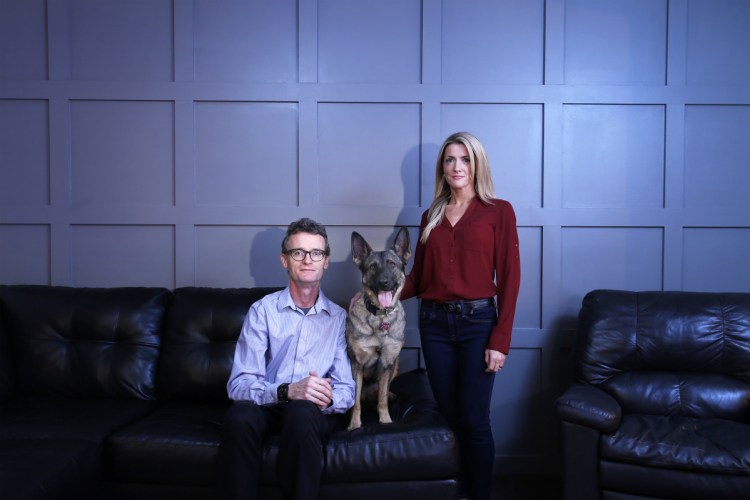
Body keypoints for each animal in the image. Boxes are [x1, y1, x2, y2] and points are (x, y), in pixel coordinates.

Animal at [346, 227, 412, 430]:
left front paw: (386, 420)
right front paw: (355, 425)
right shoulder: (356, 364)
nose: (384, 282)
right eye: (372, 267)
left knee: (381, 391)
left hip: (396, 364)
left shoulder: (387, 361)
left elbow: (381, 398)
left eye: (392, 264)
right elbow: (355, 402)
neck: (380, 318)